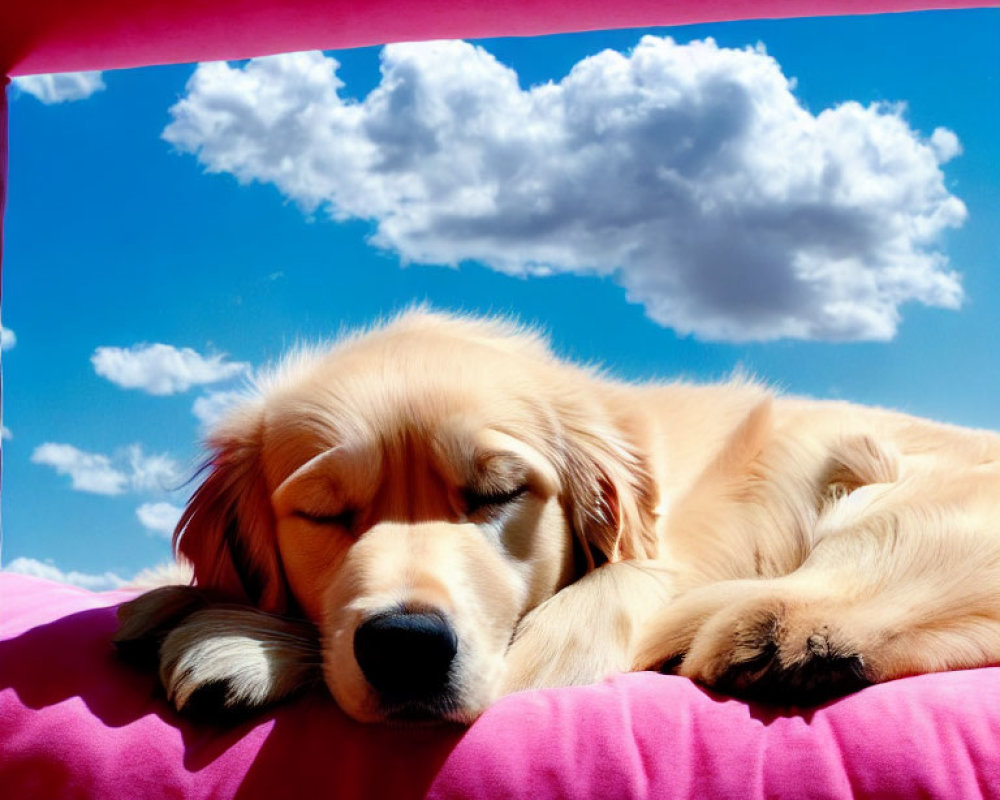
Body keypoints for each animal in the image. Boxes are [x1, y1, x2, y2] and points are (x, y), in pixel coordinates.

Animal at [115, 312, 1000, 724]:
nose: (407, 647)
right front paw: (171, 601)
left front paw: (234, 638)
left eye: (496, 495)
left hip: (880, 489)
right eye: (327, 513)